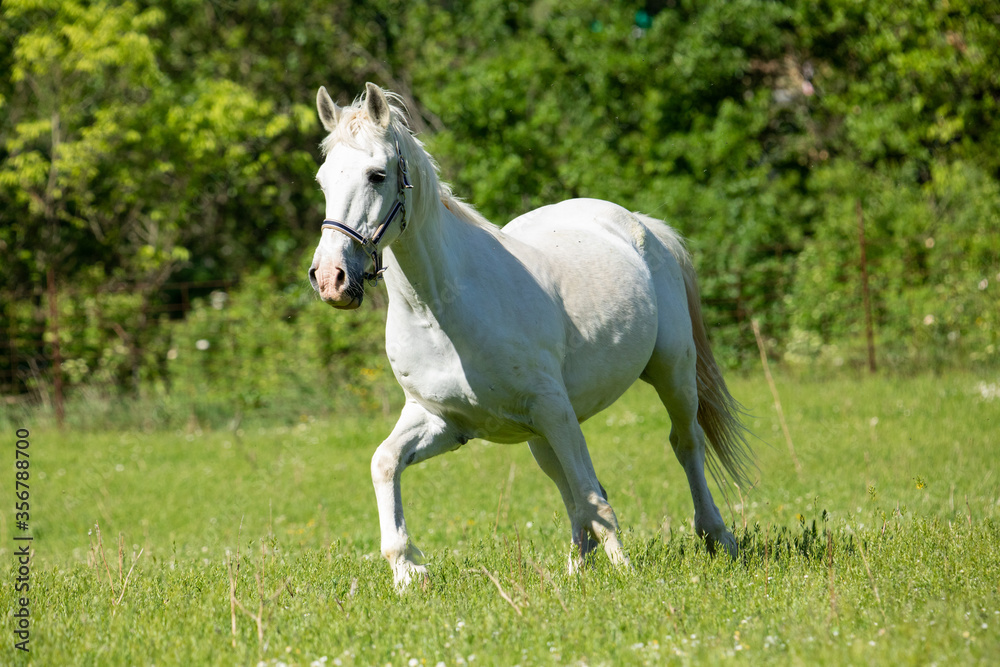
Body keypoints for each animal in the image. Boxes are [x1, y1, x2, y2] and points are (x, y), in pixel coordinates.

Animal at [308, 83, 752, 588]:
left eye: (377, 175)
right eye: (323, 181)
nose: (330, 279)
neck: (443, 311)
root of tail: (643, 225)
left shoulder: (553, 409)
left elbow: (595, 498)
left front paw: (625, 575)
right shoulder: (442, 420)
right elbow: (383, 463)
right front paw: (406, 572)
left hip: (670, 372)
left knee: (685, 445)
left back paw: (718, 539)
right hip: (539, 434)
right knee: (569, 486)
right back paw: (577, 567)